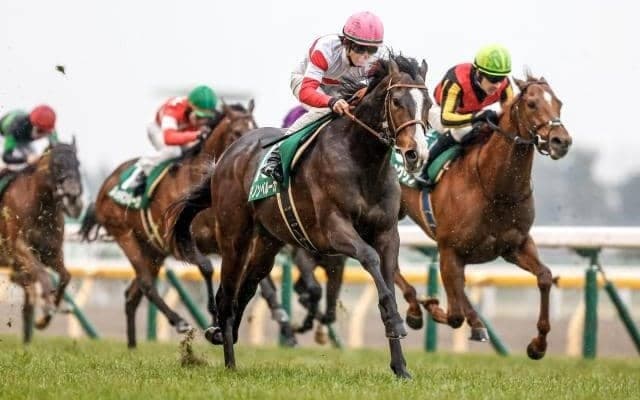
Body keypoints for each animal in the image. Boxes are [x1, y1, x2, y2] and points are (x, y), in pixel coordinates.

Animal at [0, 140, 83, 342]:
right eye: (57, 164)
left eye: (78, 164)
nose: (73, 198)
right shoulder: (19, 247)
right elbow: (43, 274)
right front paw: (47, 307)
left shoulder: (52, 252)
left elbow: (66, 277)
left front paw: (44, 319)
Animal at [78, 102, 259, 348]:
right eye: (238, 131)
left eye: (255, 126)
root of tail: (105, 184)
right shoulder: (177, 241)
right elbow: (206, 267)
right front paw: (213, 313)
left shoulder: (224, 240)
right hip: (125, 235)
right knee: (145, 283)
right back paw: (179, 321)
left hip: (153, 250)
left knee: (132, 294)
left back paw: (132, 347)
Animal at [167, 54, 431, 378]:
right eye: (396, 101)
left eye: (428, 103)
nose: (416, 154)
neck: (362, 161)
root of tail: (226, 158)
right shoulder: (333, 230)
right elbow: (369, 258)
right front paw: (396, 322)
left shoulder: (387, 233)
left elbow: (387, 280)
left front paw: (400, 365)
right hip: (234, 238)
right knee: (226, 295)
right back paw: (229, 359)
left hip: (267, 244)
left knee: (247, 288)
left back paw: (223, 334)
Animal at [399, 71, 572, 359]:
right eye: (531, 104)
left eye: (559, 103)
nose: (562, 141)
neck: (495, 188)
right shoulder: (449, 249)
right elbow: (454, 314)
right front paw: (432, 306)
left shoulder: (515, 245)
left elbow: (545, 277)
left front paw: (538, 345)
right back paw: (415, 310)